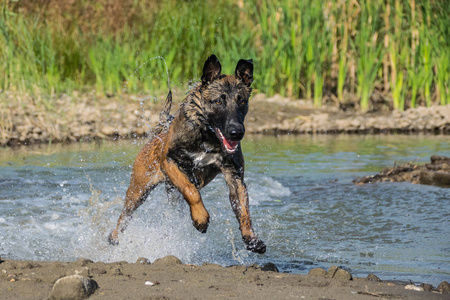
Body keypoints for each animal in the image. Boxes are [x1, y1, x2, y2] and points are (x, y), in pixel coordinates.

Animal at [107, 54, 266, 253]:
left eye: (242, 101)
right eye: (218, 101)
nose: (236, 132)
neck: (207, 137)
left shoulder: (235, 175)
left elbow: (244, 211)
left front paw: (251, 238)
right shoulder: (169, 161)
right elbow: (191, 190)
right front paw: (200, 218)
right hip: (138, 189)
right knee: (124, 216)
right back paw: (113, 237)